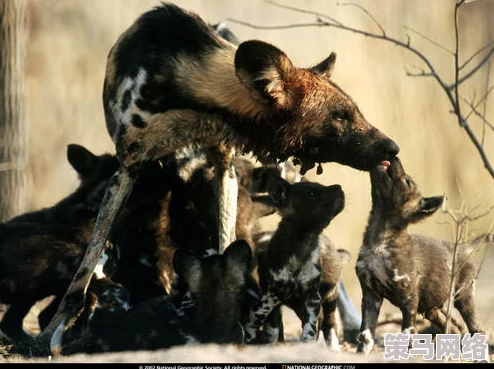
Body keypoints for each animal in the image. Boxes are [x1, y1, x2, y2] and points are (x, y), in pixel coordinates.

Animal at [242, 172, 344, 342]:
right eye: (311, 193)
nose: (339, 187)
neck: (300, 248)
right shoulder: (271, 295)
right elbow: (268, 327)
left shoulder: (312, 298)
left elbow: (309, 331)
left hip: (329, 298)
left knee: (328, 325)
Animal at [356, 156, 484, 354]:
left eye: (407, 181)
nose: (396, 157)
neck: (380, 239)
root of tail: (464, 248)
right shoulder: (371, 295)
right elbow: (366, 335)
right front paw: (361, 353)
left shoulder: (408, 299)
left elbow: (407, 334)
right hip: (431, 308)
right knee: (453, 329)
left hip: (463, 297)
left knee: (477, 329)